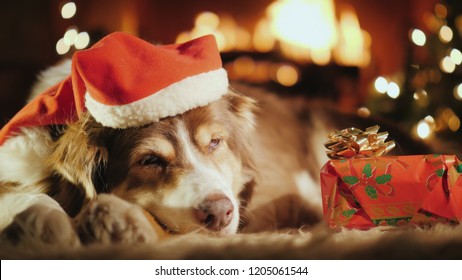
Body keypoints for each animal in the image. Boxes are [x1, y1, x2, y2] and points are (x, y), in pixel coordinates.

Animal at [0, 35, 428, 252]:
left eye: (216, 143)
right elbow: (24, 197)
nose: (220, 213)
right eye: (149, 161)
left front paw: (114, 223)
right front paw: (44, 223)